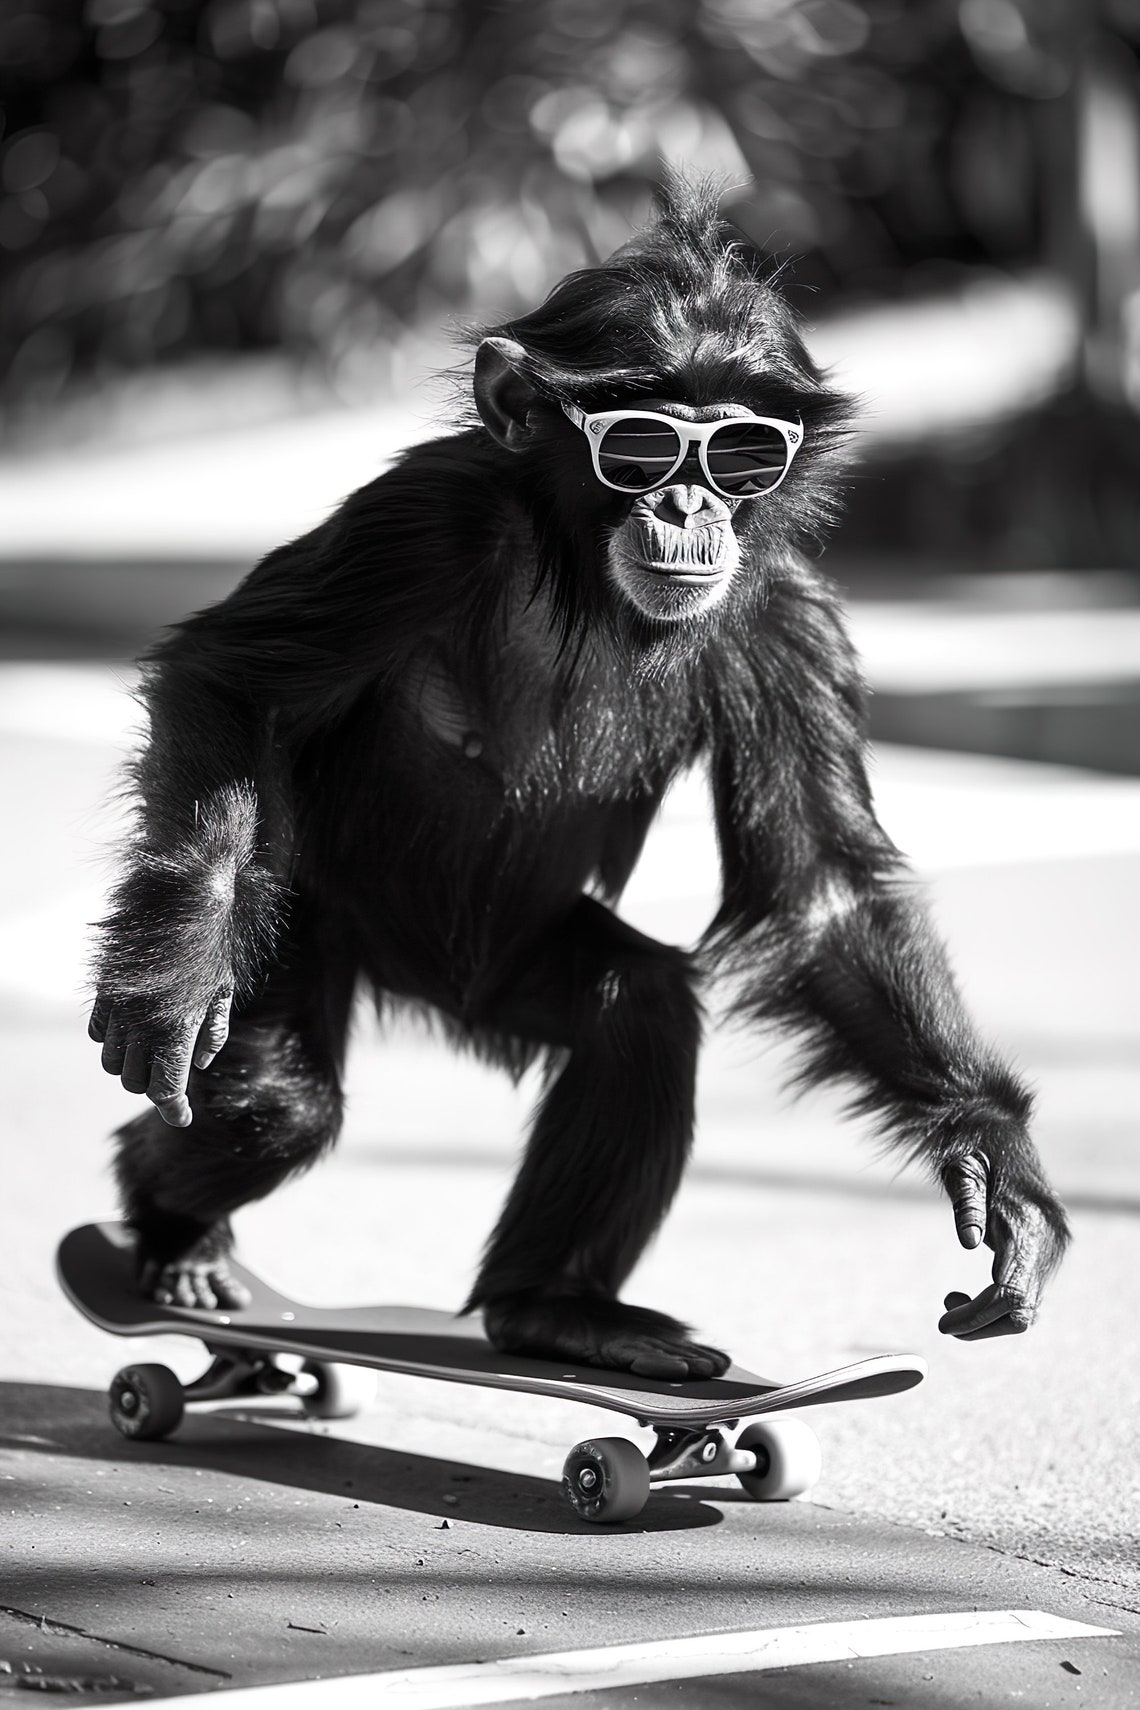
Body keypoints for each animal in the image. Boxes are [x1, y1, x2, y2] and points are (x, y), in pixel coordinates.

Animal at [89, 178, 1068, 1379]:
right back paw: (172, 1231)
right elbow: (236, 678)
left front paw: (998, 1170)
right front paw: (174, 981)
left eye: (745, 453)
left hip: (508, 963)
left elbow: (823, 892)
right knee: (277, 1103)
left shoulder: (789, 617)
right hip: (309, 917)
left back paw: (553, 1308)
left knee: (634, 1010)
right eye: (641, 445)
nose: (692, 505)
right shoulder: (414, 520)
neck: (580, 580)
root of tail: (418, 980)